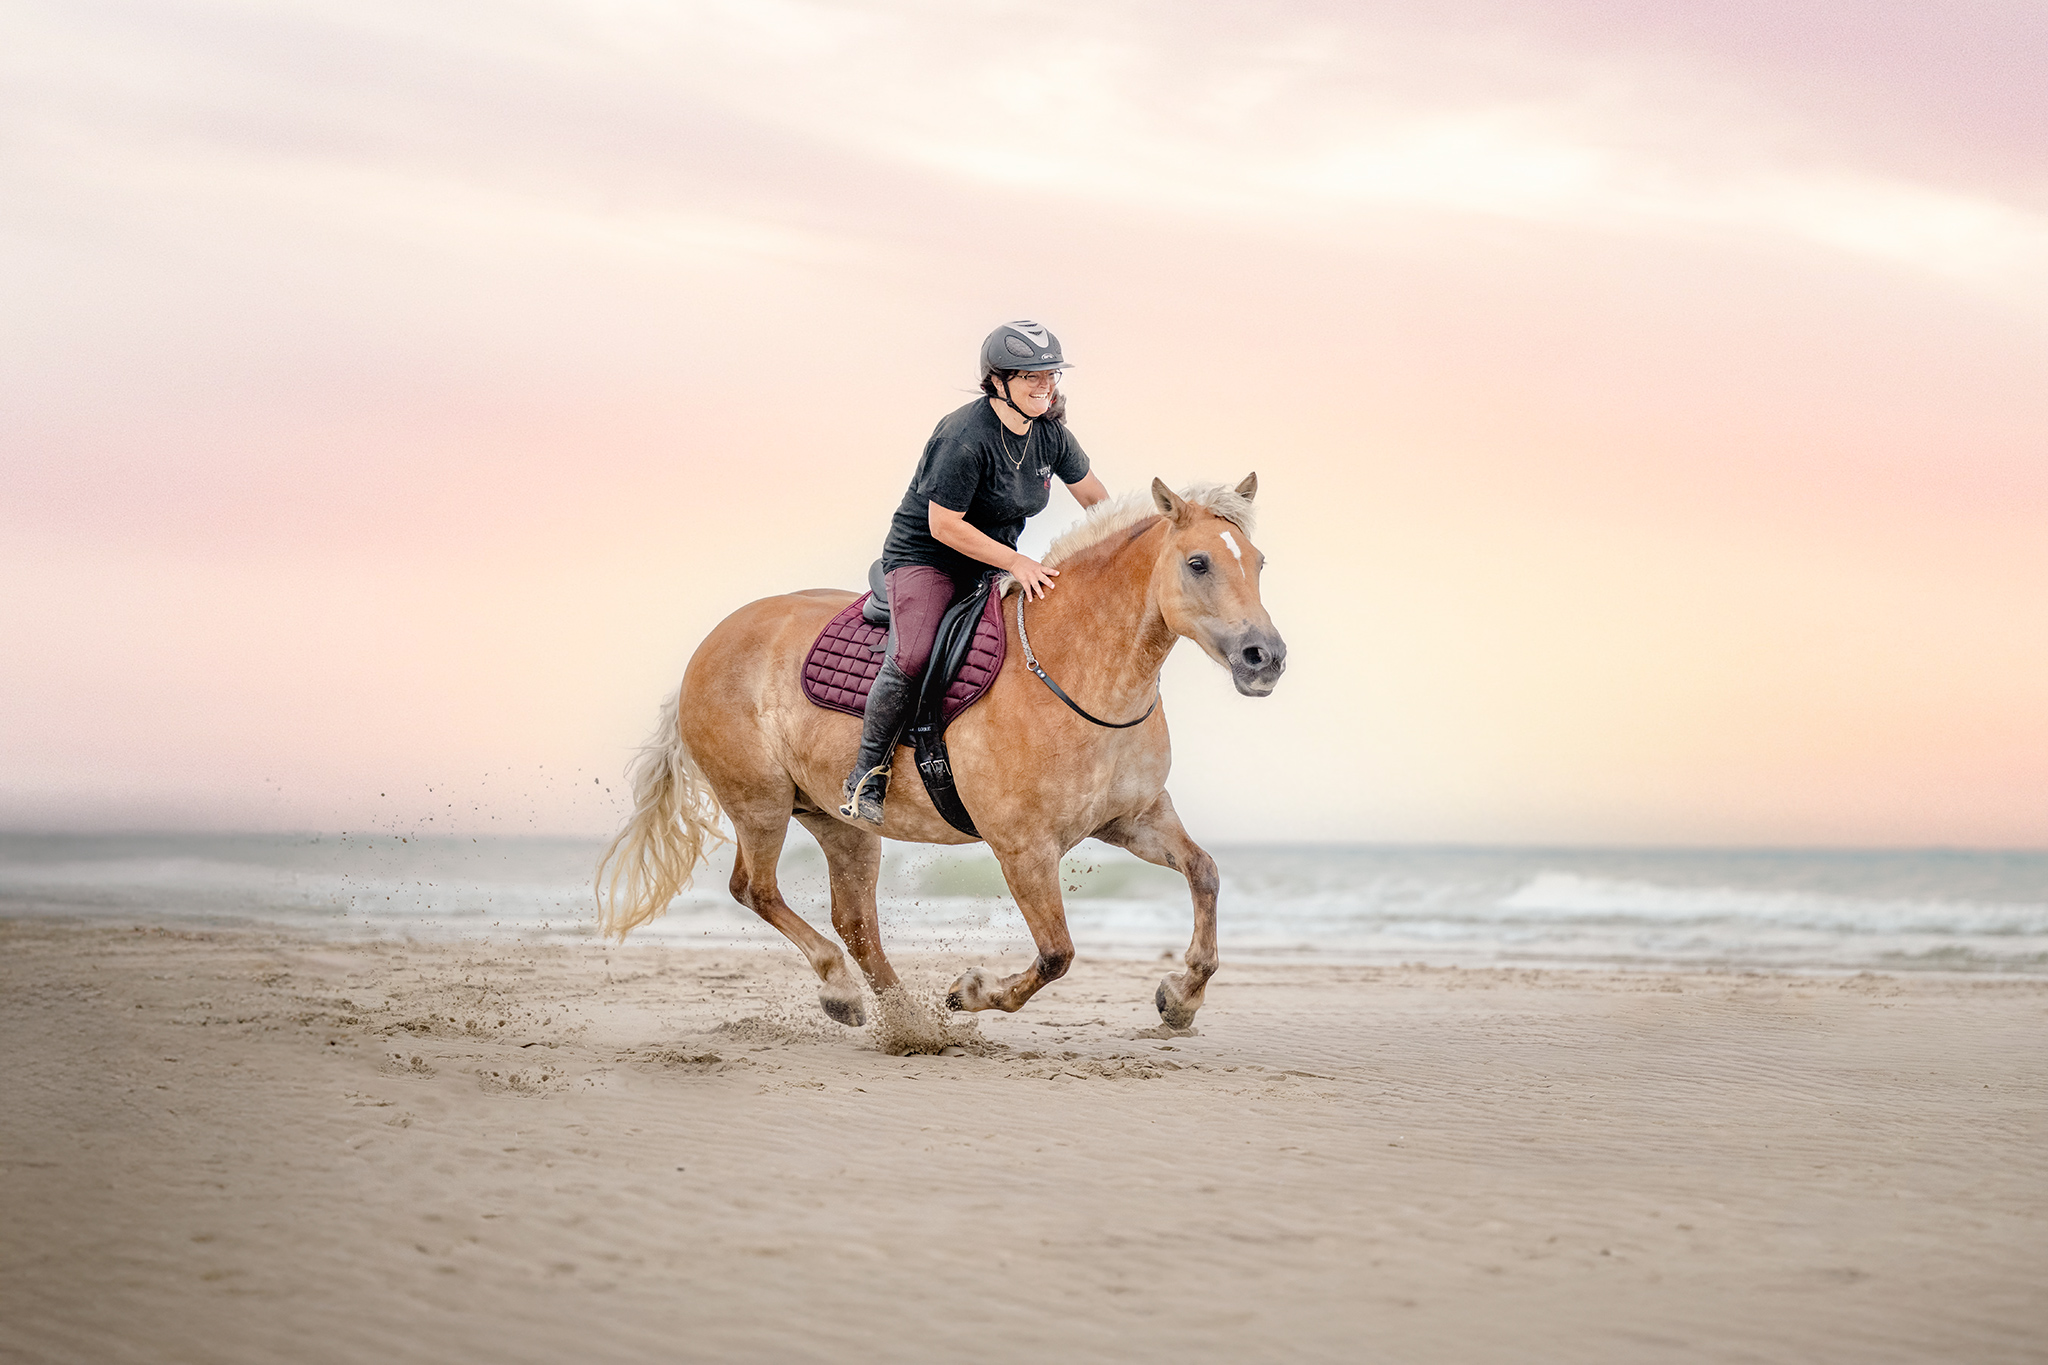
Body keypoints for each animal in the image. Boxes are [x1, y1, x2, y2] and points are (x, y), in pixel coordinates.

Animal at [594, 474, 1286, 1035]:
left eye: (1257, 562)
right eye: (1198, 562)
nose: (1266, 658)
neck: (1076, 669)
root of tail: (708, 647)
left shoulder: (1133, 819)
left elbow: (1204, 873)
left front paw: (1181, 997)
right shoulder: (1023, 849)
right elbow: (1056, 953)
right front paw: (969, 991)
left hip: (840, 825)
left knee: (855, 922)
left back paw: (905, 1019)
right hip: (759, 805)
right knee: (756, 891)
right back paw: (844, 993)